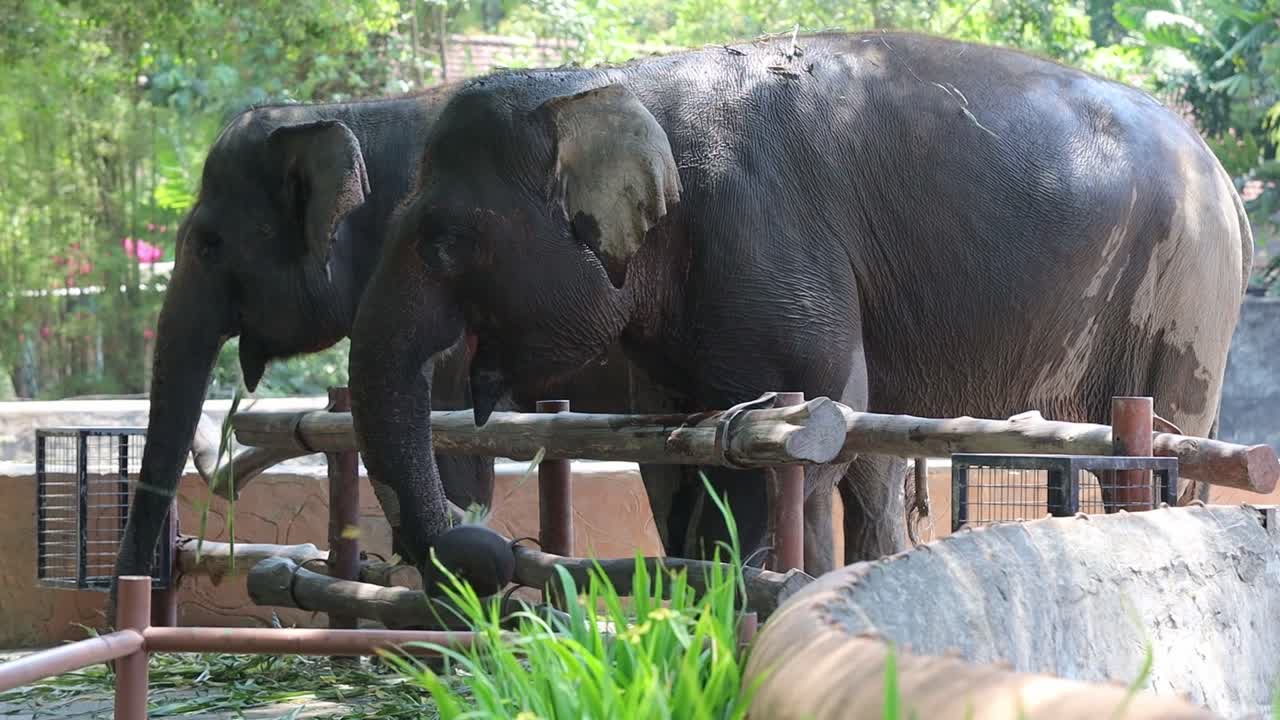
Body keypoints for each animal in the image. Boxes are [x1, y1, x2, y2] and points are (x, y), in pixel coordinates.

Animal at [346, 30, 1252, 583]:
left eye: (445, 240)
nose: (492, 548)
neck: (625, 84)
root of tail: (1228, 187)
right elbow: (676, 453)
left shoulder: (766, 235)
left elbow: (809, 427)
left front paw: (751, 592)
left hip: (1183, 294)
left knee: (1155, 452)